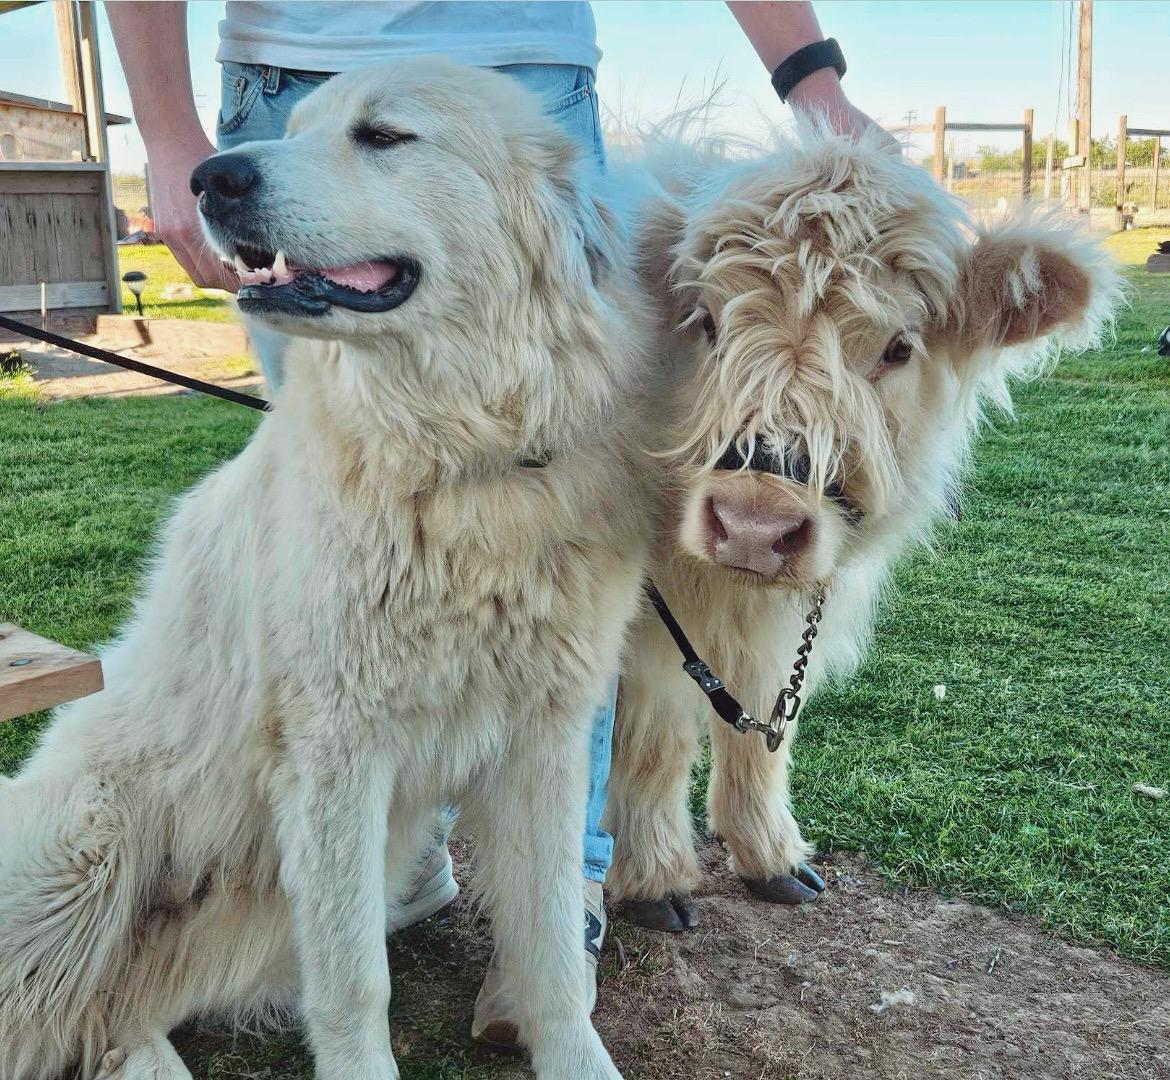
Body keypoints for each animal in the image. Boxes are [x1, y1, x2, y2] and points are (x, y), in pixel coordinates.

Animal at [605, 124, 1118, 930]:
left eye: (899, 347)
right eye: (706, 322)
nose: (754, 525)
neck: (727, 594)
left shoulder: (772, 639)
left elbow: (764, 734)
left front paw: (772, 855)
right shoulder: (640, 635)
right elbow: (651, 742)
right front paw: (653, 878)